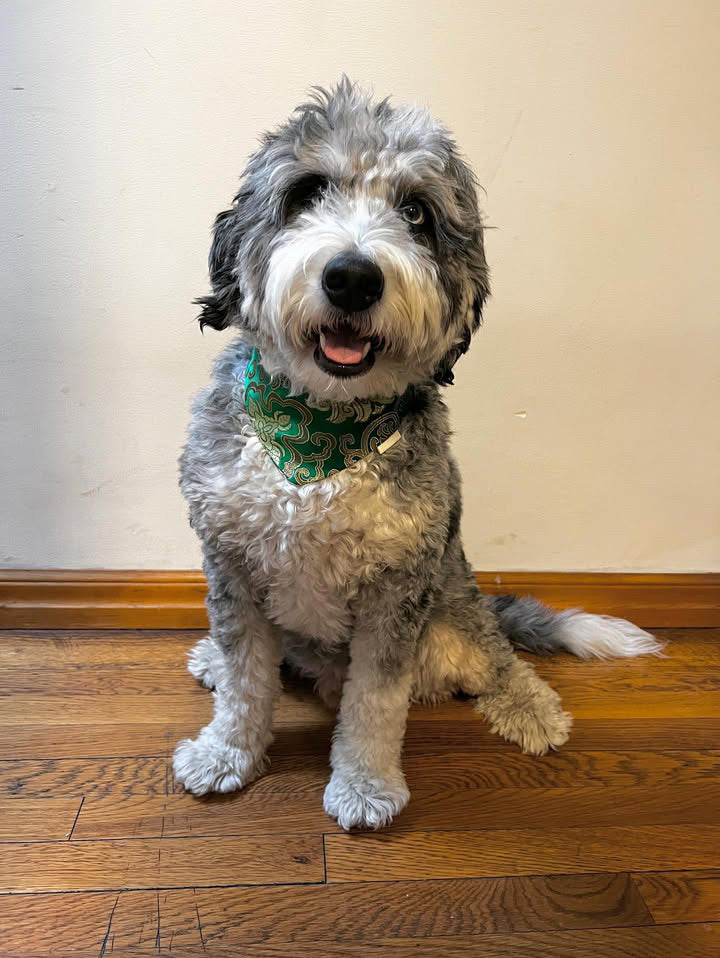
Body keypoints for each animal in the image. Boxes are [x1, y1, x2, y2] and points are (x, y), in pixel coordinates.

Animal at [172, 80, 660, 832]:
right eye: (306, 191)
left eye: (416, 213)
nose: (351, 277)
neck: (319, 438)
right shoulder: (231, 562)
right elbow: (247, 676)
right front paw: (227, 753)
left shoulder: (395, 591)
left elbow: (375, 702)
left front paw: (366, 785)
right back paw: (212, 661)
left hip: (453, 608)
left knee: (497, 654)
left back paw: (532, 710)